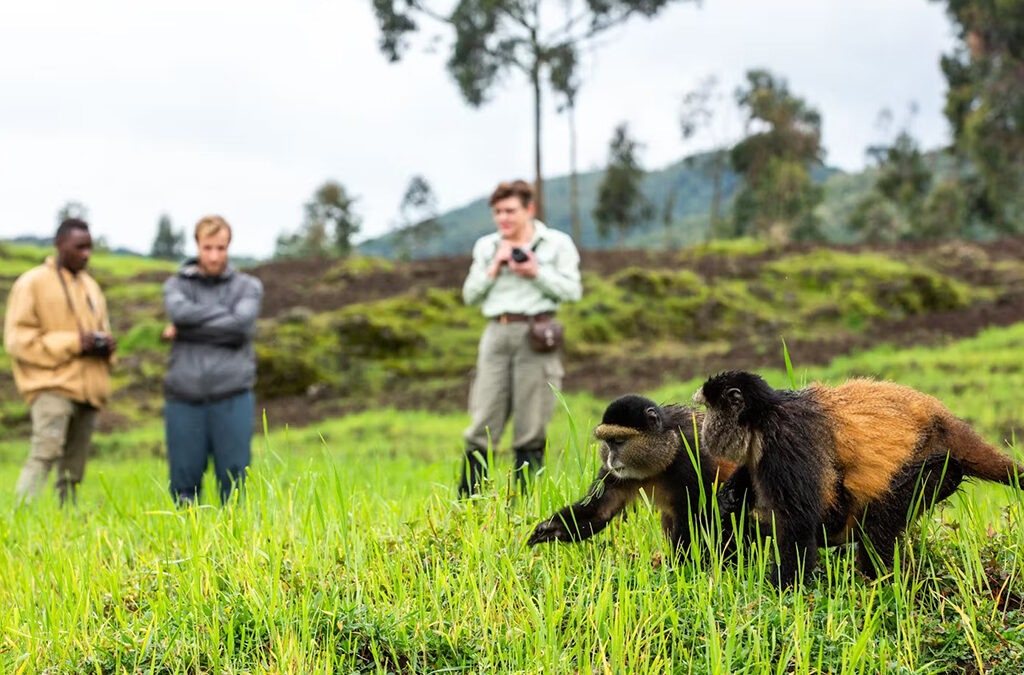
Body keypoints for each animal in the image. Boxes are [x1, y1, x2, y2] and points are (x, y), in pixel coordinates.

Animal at [528, 394, 736, 555]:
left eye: (619, 441)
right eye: (608, 442)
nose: (611, 459)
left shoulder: (693, 456)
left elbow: (696, 516)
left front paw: (678, 566)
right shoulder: (612, 475)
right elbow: (600, 511)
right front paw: (549, 528)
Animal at [694, 370, 1024, 587]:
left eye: (709, 410)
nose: (705, 428)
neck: (764, 415)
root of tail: (945, 421)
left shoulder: (784, 441)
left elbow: (798, 525)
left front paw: (779, 590)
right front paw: (730, 494)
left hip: (937, 469)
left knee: (877, 523)